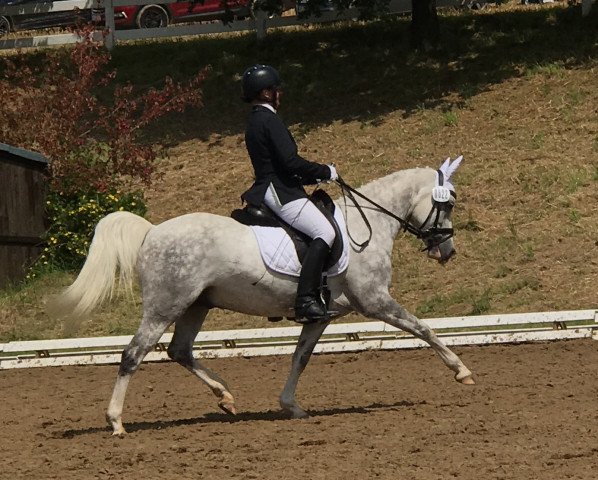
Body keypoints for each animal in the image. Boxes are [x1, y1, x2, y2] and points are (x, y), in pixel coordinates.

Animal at [58, 158, 476, 436]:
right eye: (449, 202)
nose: (447, 251)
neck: (365, 224)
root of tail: (152, 231)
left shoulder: (321, 315)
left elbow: (300, 357)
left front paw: (291, 406)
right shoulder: (374, 301)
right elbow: (423, 328)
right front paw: (461, 371)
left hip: (197, 305)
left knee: (179, 351)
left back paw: (225, 397)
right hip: (166, 305)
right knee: (134, 354)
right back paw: (116, 422)